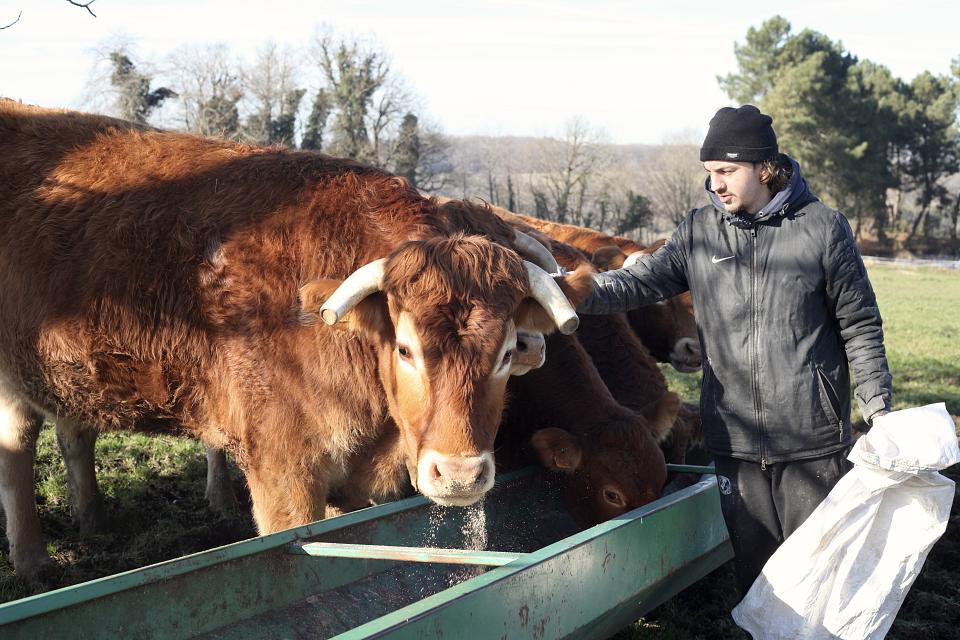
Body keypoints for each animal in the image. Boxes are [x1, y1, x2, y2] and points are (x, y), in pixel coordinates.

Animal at [0, 101, 592, 580]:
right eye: (405, 349)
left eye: (507, 352)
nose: (461, 474)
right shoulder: (284, 471)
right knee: (18, 447)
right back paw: (32, 562)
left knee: (72, 430)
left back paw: (92, 522)